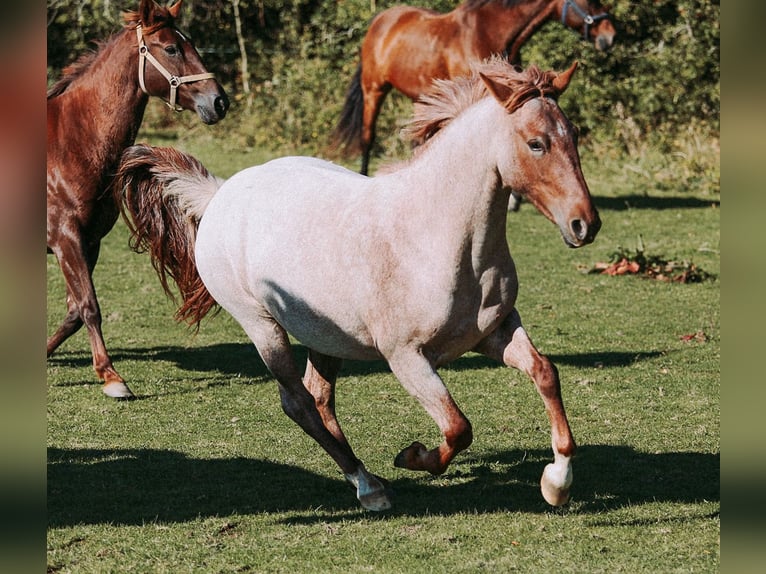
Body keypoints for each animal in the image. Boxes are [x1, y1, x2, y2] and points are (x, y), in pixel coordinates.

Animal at [45, 1, 228, 400]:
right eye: (172, 48)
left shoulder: (90, 242)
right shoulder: (65, 238)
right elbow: (89, 306)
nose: (219, 101)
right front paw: (112, 377)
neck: (72, 141)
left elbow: (73, 312)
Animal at [332, 0, 616, 178]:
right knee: (367, 136)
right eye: (591, 0)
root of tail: (380, 21)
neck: (488, 31)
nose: (610, 36)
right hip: (374, 90)